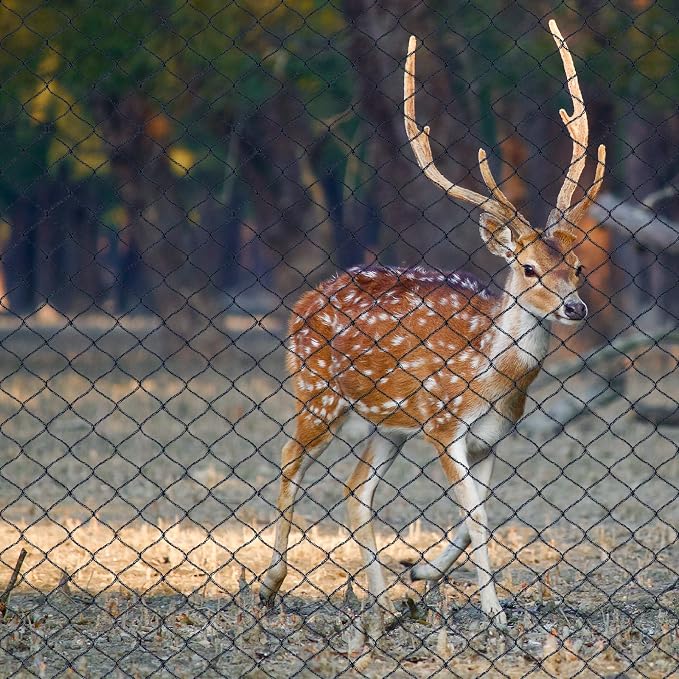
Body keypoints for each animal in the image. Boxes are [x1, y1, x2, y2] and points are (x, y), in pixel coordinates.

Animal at [260, 20, 605, 628]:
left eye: (579, 267)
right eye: (529, 267)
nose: (575, 308)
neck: (493, 381)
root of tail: (302, 303)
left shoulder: (490, 439)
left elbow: (479, 516)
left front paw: (418, 574)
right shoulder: (444, 425)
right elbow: (477, 519)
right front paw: (493, 612)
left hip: (386, 425)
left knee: (356, 491)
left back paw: (379, 603)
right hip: (317, 390)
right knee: (289, 459)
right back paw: (270, 586)